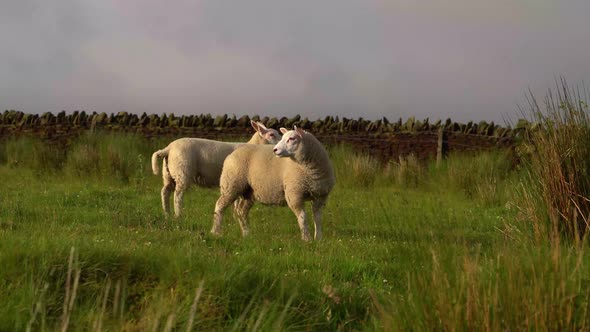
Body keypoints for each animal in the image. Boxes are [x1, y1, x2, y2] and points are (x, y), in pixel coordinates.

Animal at [153, 120, 282, 217]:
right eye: (271, 135)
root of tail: (168, 148)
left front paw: (235, 216)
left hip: (169, 174)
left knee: (165, 192)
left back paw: (167, 214)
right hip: (182, 172)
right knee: (178, 195)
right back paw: (178, 215)